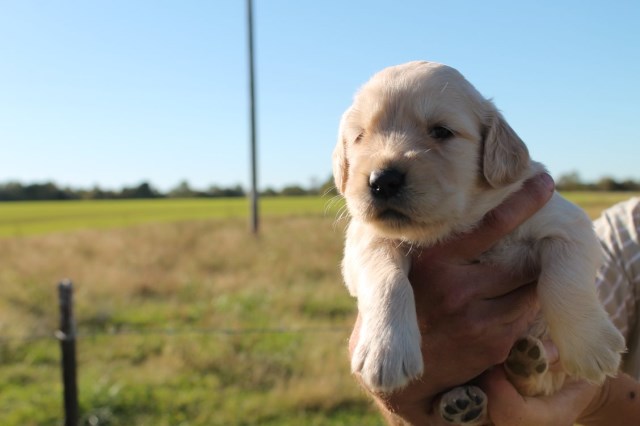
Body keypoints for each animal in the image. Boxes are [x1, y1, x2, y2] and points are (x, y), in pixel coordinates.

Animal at [336, 61, 624, 424]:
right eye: (360, 136)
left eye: (441, 131)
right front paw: (385, 351)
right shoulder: (363, 241)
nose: (382, 180)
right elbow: (387, 279)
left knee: (536, 386)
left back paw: (526, 362)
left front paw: (588, 346)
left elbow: (564, 281)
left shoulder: (567, 224)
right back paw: (461, 403)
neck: (458, 221)